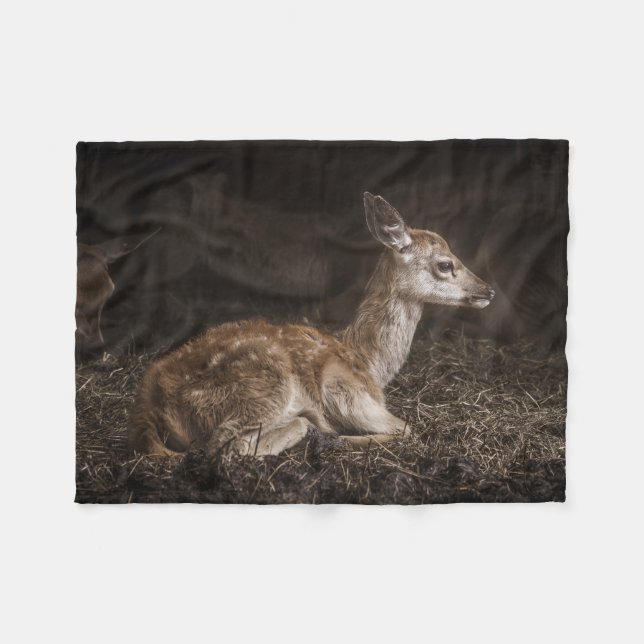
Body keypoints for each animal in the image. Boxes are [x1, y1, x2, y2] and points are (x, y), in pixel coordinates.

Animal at [128, 193, 495, 457]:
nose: (488, 290)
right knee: (227, 446)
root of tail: (148, 403)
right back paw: (316, 433)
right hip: (266, 388)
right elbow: (407, 429)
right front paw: (336, 438)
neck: (368, 362)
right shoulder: (344, 390)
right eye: (445, 264)